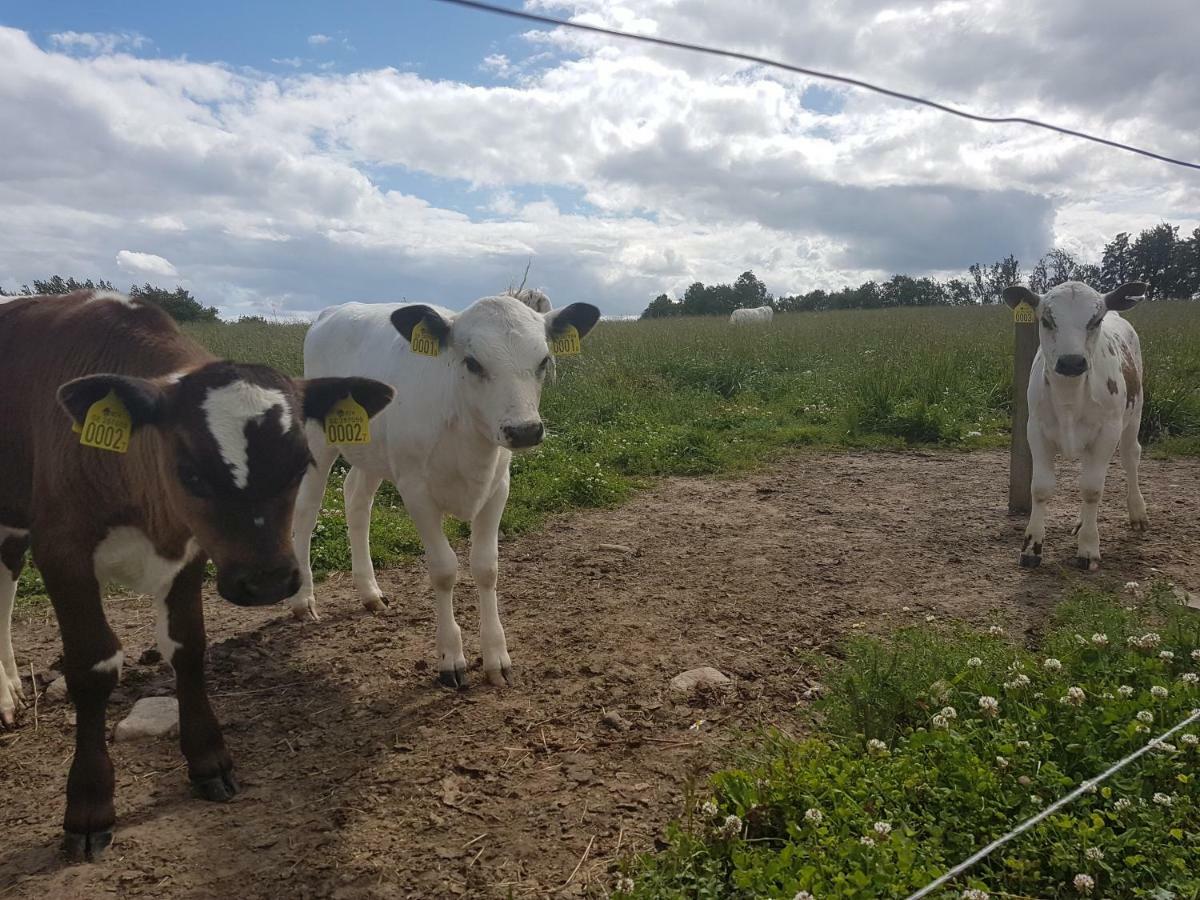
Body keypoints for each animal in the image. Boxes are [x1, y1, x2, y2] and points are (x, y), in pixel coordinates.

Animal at [0, 292, 393, 864]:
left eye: (300, 463)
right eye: (189, 472)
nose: (268, 581)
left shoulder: (189, 552)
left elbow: (188, 647)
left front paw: (209, 760)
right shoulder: (62, 551)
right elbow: (92, 667)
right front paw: (90, 806)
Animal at [290, 296, 600, 691]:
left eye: (544, 360)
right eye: (472, 362)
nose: (525, 430)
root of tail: (335, 310)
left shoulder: (498, 487)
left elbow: (486, 567)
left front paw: (496, 656)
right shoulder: (415, 491)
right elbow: (443, 569)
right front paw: (450, 658)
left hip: (373, 452)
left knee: (356, 500)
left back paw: (370, 592)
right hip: (318, 441)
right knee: (307, 509)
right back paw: (303, 599)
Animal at [998, 280, 1147, 571]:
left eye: (1095, 320)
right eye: (1046, 320)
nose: (1071, 361)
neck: (1069, 396)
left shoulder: (1107, 433)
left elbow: (1092, 489)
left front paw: (1088, 548)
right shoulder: (1036, 430)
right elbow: (1041, 488)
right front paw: (1031, 547)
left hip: (1133, 415)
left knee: (1130, 457)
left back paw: (1137, 512)